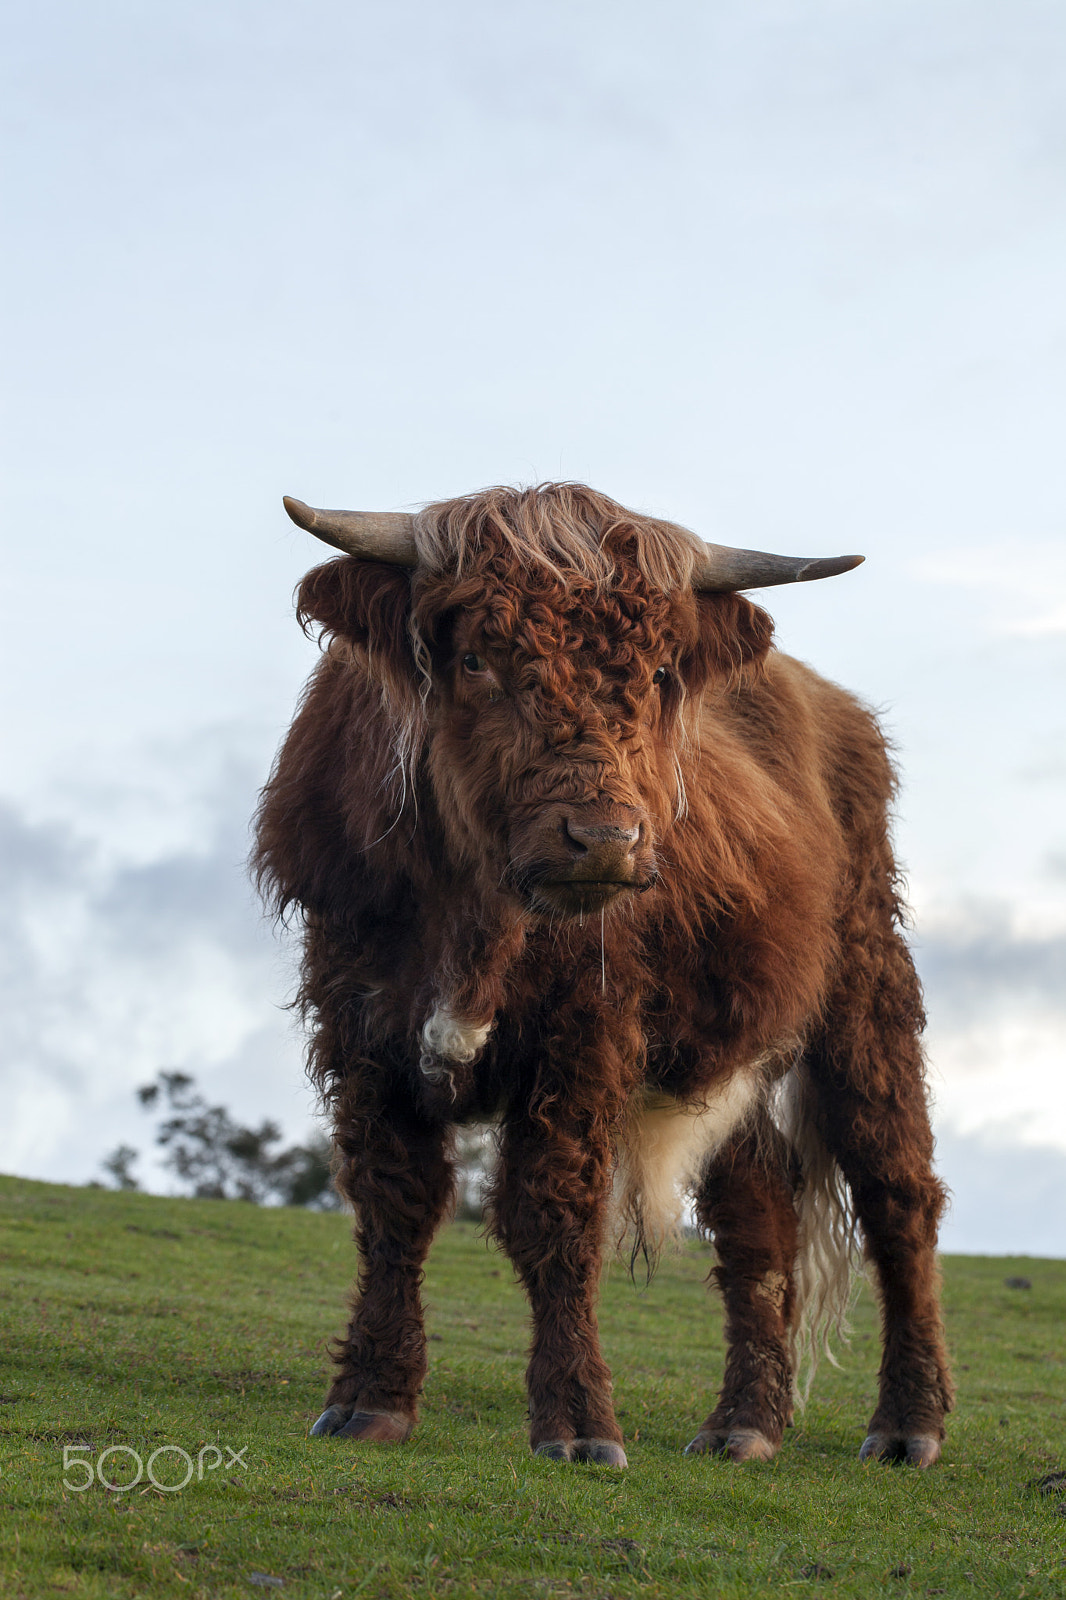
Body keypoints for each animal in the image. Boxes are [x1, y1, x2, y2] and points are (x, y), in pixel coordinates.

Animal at [255, 481, 952, 1470]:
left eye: (658, 674)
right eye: (477, 657)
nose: (604, 839)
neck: (475, 919)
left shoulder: (584, 1030)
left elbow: (554, 1213)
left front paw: (578, 1425)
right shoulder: (360, 1019)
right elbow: (396, 1202)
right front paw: (369, 1399)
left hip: (866, 990)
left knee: (899, 1194)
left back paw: (907, 1424)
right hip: (728, 1056)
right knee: (758, 1221)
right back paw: (744, 1423)